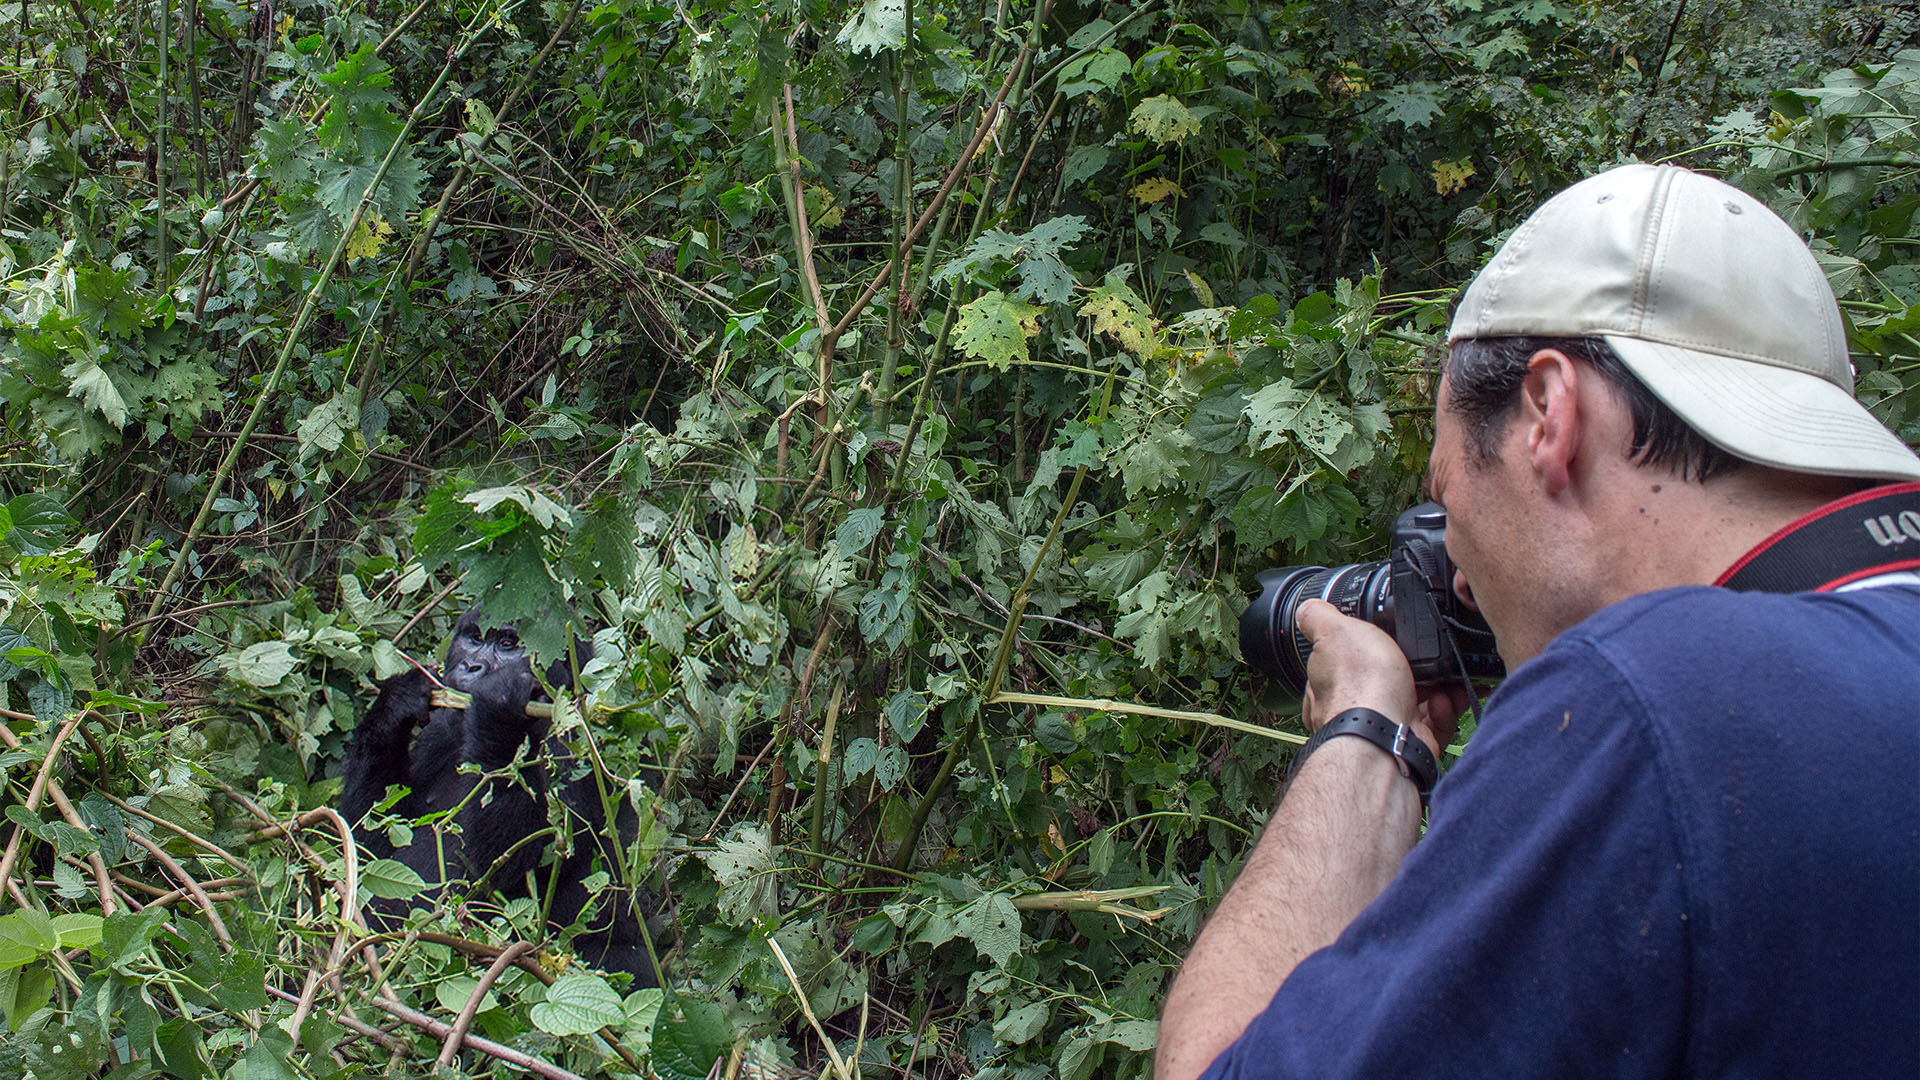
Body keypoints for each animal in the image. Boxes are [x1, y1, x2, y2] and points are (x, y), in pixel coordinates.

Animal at [349, 607, 664, 983]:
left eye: (509, 644)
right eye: (474, 638)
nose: (472, 666)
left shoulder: (580, 738)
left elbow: (511, 866)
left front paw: (498, 703)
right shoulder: (439, 731)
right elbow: (369, 848)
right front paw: (396, 702)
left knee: (626, 965)